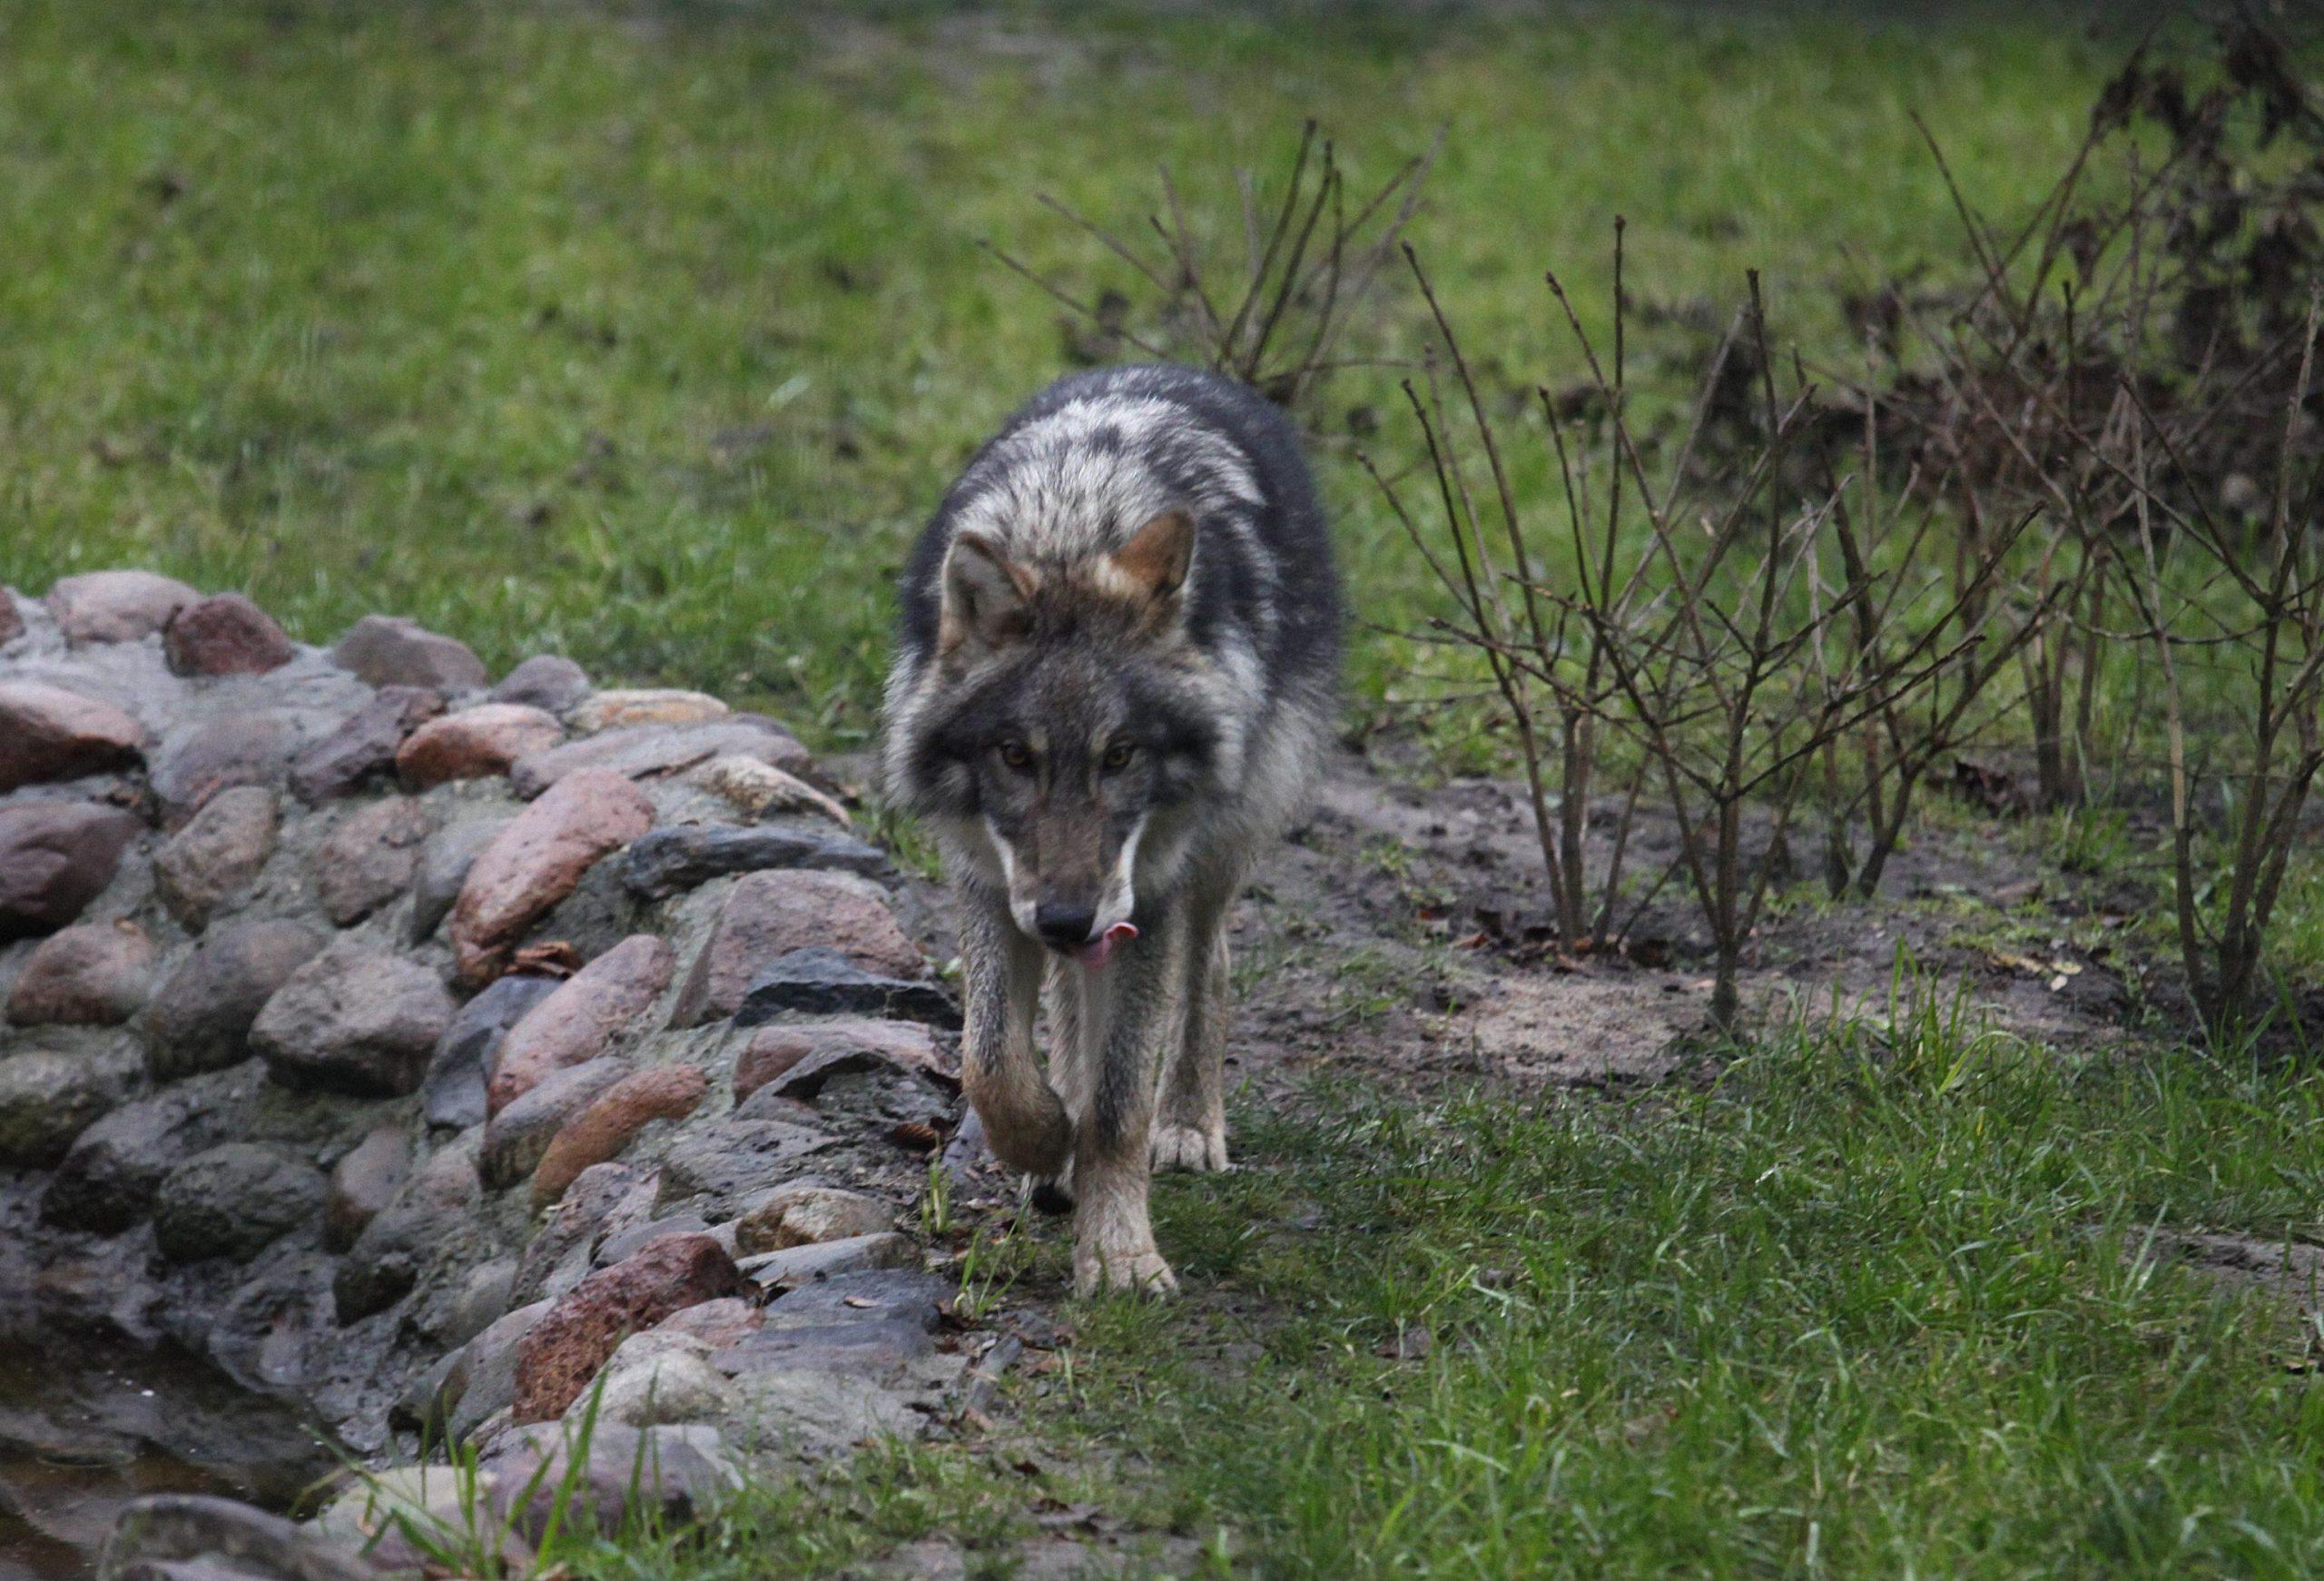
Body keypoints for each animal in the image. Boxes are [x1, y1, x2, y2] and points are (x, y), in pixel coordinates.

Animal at [878, 364, 1338, 1292]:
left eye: (1120, 754)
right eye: (1014, 755)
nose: (1066, 917)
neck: (1069, 527)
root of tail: (1178, 371)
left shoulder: (1144, 896)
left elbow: (1122, 1101)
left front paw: (1121, 1254)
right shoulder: (987, 879)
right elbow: (989, 1060)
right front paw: (1048, 1140)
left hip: (1221, 840)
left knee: (1210, 966)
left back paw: (1188, 1123)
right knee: (1064, 1010)